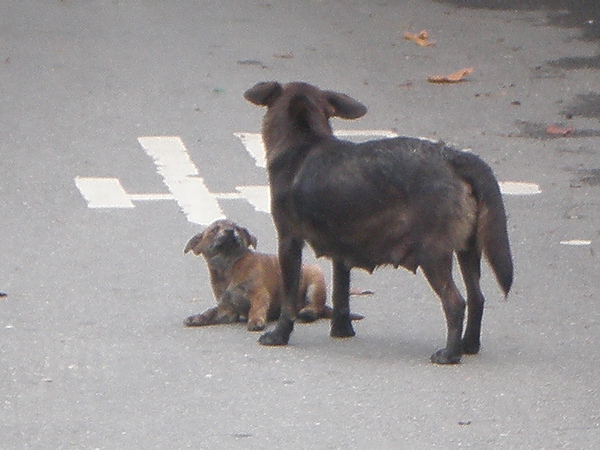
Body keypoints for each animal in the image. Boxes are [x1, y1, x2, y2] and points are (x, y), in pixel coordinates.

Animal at [183, 220, 360, 332]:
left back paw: (306, 312)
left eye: (237, 228)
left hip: (315, 279)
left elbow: (257, 308)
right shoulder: (226, 310)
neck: (229, 265)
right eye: (214, 230)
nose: (230, 231)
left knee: (316, 307)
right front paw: (198, 318)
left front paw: (255, 321)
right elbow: (211, 313)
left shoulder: (259, 294)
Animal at [241, 80, 512, 362]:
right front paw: (342, 330)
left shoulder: (288, 240)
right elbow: (341, 294)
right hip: (469, 250)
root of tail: (454, 157)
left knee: (455, 302)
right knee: (476, 297)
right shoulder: (342, 250)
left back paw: (449, 354)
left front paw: (279, 335)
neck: (304, 143)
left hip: (433, 254)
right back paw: (468, 344)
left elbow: (290, 298)